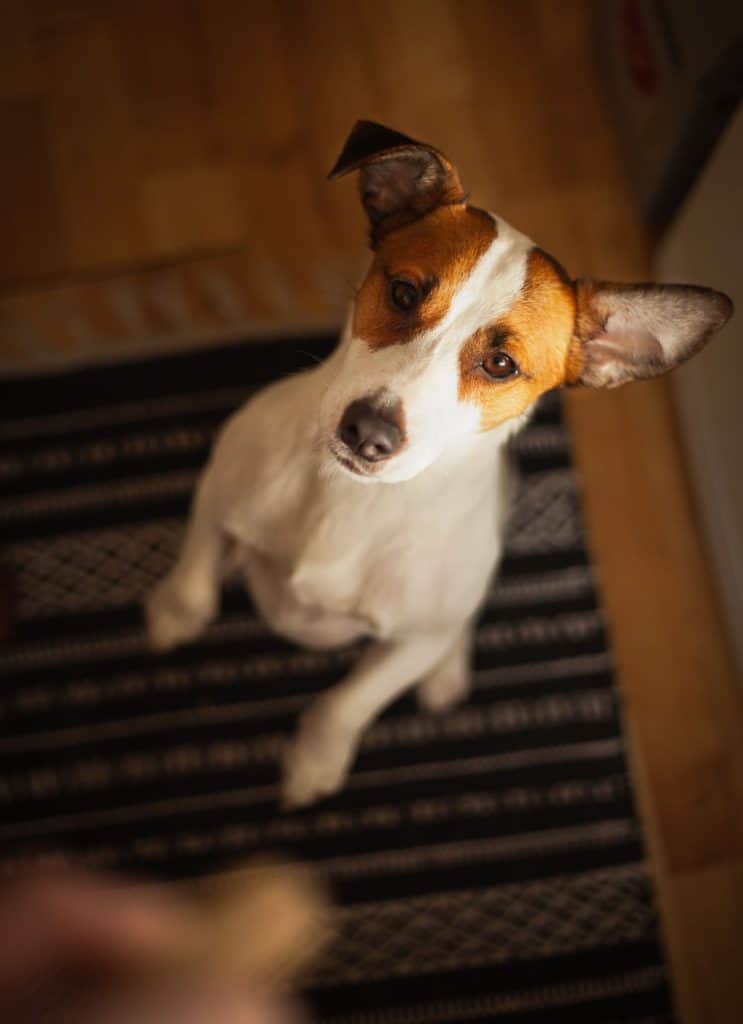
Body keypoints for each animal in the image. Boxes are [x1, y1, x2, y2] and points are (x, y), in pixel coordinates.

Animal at [145, 119, 732, 806]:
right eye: (402, 292)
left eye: (500, 364)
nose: (367, 433)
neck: (354, 500)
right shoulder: (220, 491)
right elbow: (196, 570)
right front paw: (174, 614)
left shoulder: (408, 644)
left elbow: (346, 704)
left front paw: (315, 762)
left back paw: (448, 671)